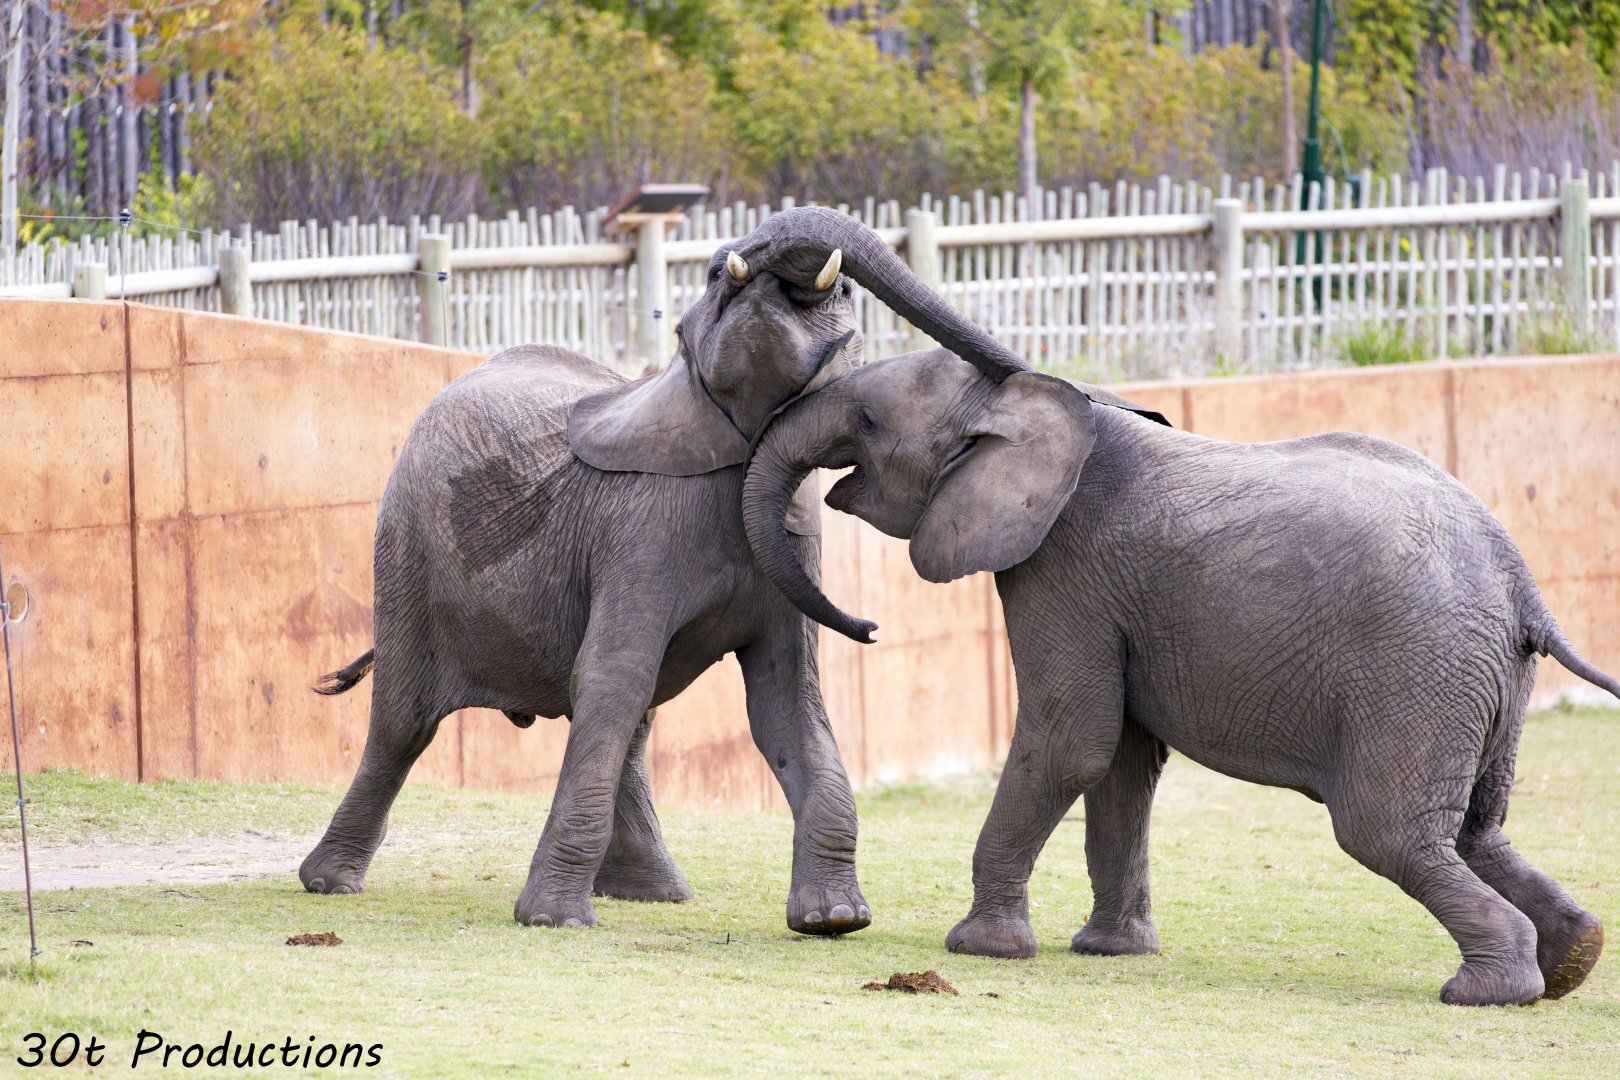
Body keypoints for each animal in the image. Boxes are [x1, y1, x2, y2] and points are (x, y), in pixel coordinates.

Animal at [300, 209, 886, 934]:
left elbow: (785, 701)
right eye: (714, 275)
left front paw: (835, 920)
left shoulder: (792, 548)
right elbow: (613, 676)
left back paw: (657, 893)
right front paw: (553, 921)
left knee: (631, 723)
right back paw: (328, 884)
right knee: (404, 722)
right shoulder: (642, 530)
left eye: (846, 296)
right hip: (406, 545)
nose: (871, 627)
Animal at [741, 331, 1617, 1003]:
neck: (1022, 402)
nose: (869, 628)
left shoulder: (1063, 570)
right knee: (1475, 830)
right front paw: (1109, 951)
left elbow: (1070, 743)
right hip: (1480, 683)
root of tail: (1523, 588)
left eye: (867, 417)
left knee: (1389, 833)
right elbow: (1123, 763)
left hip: (1417, 674)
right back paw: (1570, 961)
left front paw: (979, 948)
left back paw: (1485, 990)